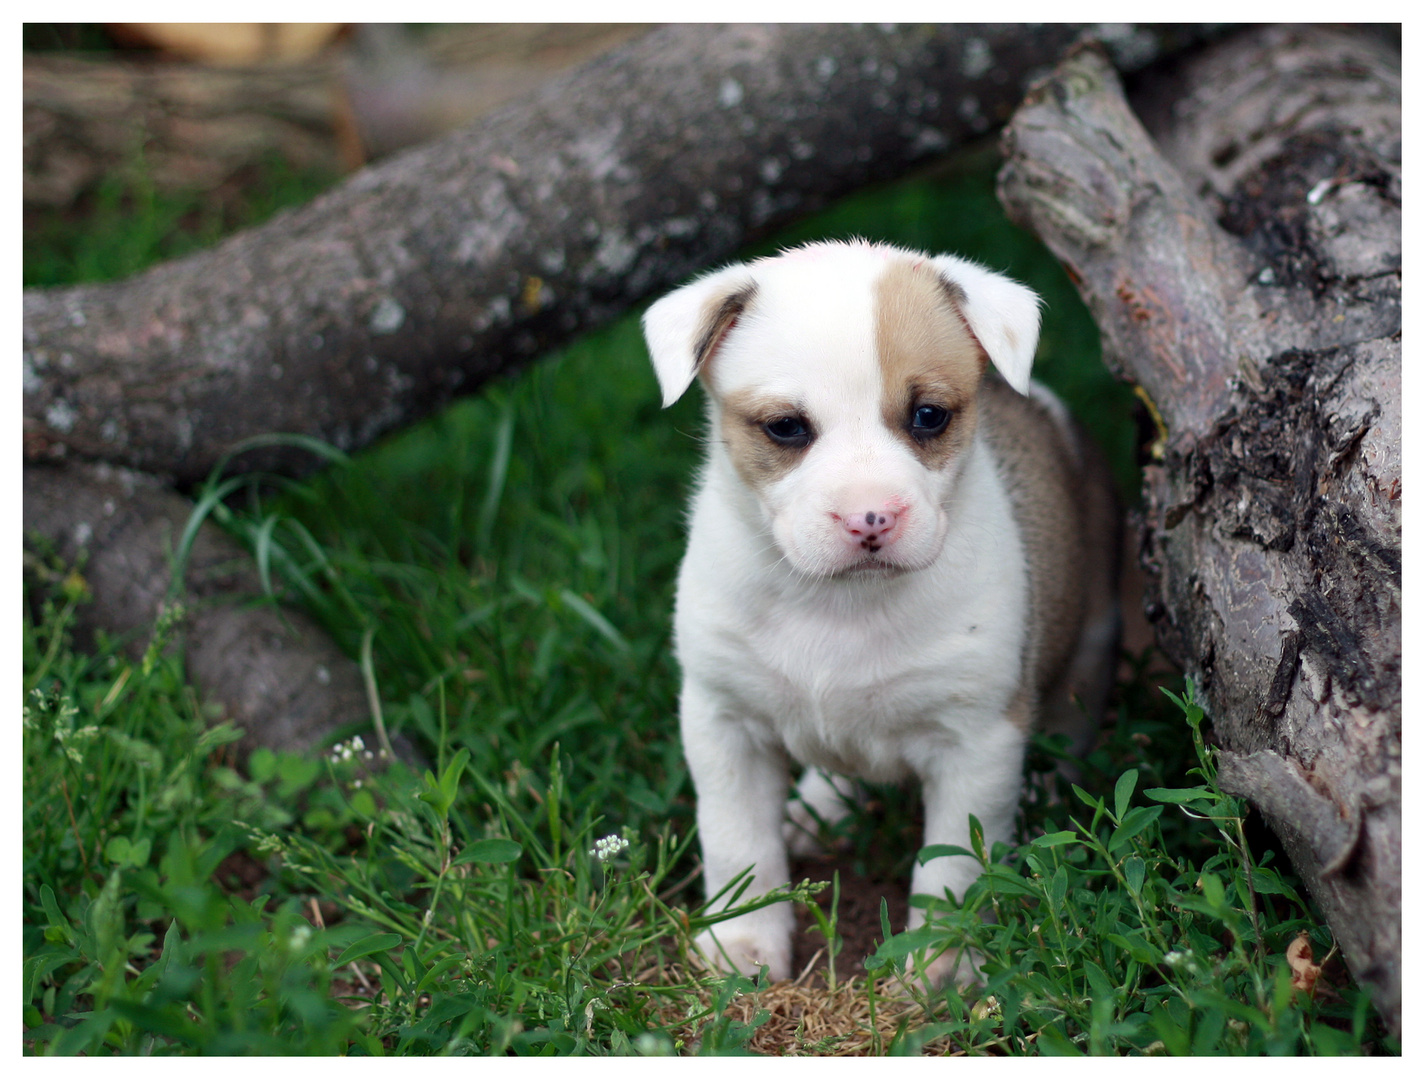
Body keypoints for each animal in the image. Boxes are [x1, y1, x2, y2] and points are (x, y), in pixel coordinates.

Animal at [646, 240, 1122, 985]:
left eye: (929, 416)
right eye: (785, 428)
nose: (869, 518)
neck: (839, 601)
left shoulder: (975, 747)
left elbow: (954, 870)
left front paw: (942, 967)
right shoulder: (723, 722)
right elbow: (736, 843)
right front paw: (742, 943)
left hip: (1091, 644)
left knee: (1070, 724)